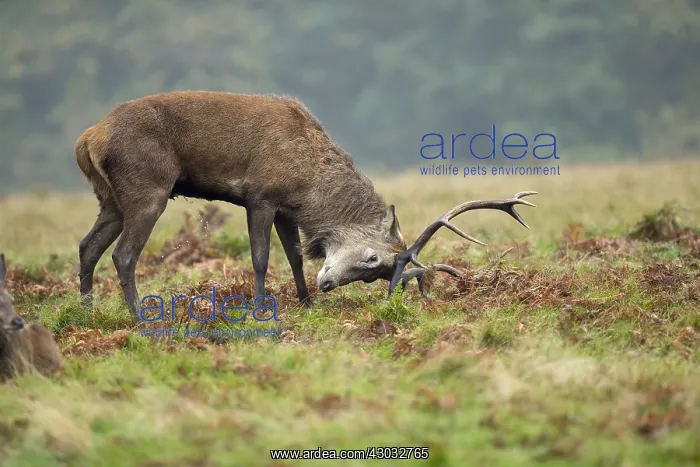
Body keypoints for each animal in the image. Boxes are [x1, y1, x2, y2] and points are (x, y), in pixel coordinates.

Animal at [75, 91, 537, 323]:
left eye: (373, 276)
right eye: (374, 261)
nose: (327, 284)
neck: (306, 183)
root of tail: (88, 138)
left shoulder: (285, 209)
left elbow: (295, 255)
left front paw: (306, 301)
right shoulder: (260, 195)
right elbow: (261, 258)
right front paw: (262, 309)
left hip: (109, 198)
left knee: (87, 246)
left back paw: (85, 310)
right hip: (148, 188)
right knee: (123, 255)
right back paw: (140, 317)